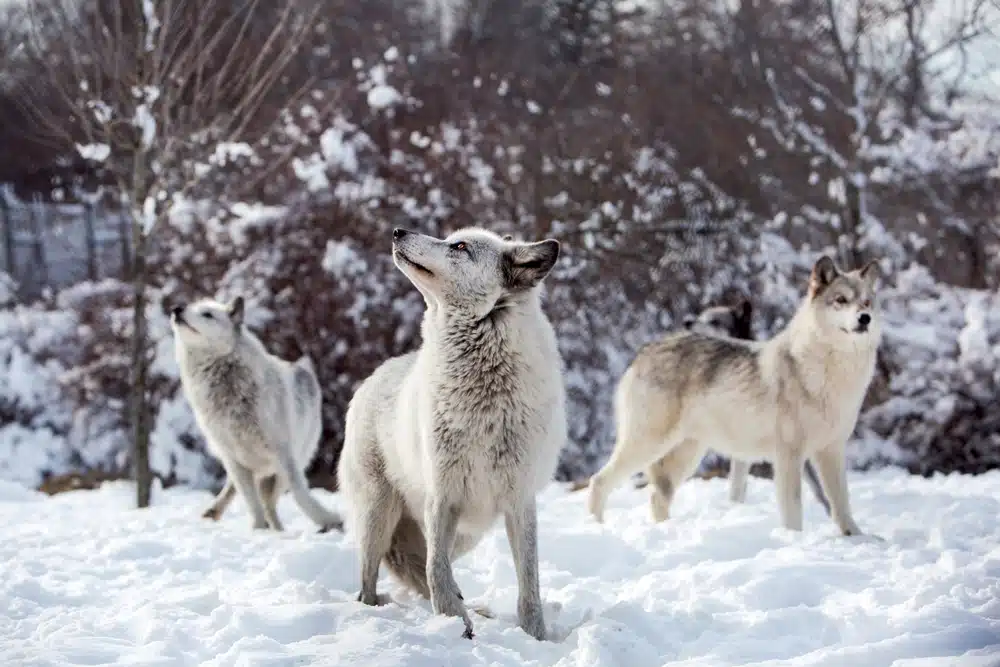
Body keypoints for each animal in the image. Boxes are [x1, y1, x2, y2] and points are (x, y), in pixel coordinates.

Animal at [171, 297, 344, 533]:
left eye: (207, 314)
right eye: (189, 306)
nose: (176, 309)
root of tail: (304, 371)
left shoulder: (284, 456)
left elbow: (299, 494)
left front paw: (326, 519)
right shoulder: (233, 458)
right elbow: (251, 501)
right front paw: (258, 529)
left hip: (288, 463)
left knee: (271, 501)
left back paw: (278, 528)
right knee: (246, 492)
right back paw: (217, 511)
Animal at [337, 227, 565, 641]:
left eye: (459, 246)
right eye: (450, 238)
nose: (397, 230)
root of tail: (375, 375)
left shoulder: (519, 502)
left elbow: (530, 585)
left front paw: (535, 636)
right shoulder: (442, 496)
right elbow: (435, 570)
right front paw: (455, 622)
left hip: (467, 533)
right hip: (380, 513)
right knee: (370, 583)